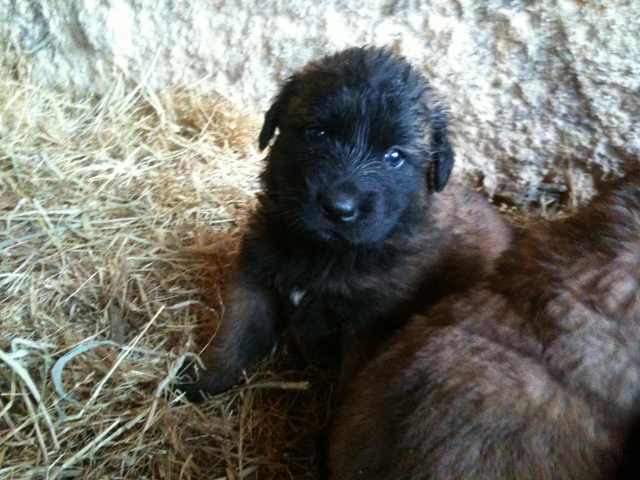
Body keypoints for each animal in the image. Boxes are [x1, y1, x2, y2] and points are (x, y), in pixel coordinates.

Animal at [178, 46, 511, 400]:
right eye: (318, 133)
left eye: (394, 156)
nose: (339, 208)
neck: (321, 253)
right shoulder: (255, 279)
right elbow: (233, 338)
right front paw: (200, 384)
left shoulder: (366, 325)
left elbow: (351, 385)